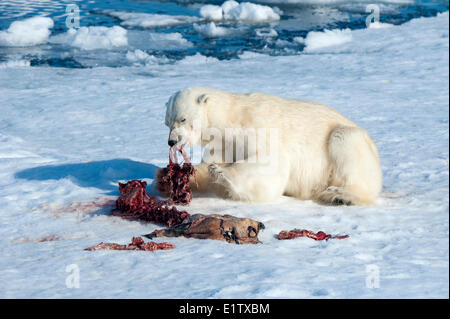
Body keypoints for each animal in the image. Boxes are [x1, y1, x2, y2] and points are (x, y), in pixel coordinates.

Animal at [156, 86, 382, 206]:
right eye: (167, 122)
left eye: (183, 118)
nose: (172, 141)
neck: (229, 119)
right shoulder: (222, 144)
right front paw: (165, 179)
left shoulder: (257, 127)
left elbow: (272, 163)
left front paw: (223, 173)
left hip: (349, 141)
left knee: (345, 142)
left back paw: (340, 195)